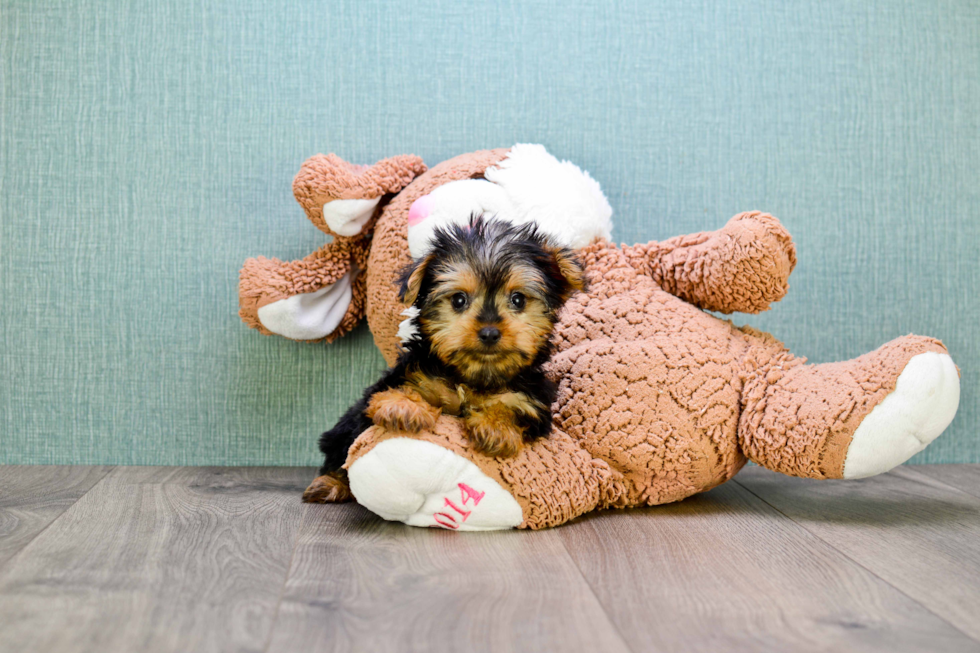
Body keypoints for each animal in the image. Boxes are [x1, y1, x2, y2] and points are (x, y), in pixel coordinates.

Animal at [302, 215, 584, 504]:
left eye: (518, 299)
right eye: (459, 300)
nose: (490, 332)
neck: (473, 377)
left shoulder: (533, 402)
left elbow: (513, 407)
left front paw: (496, 427)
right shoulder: (412, 375)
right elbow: (397, 392)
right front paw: (403, 405)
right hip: (342, 431)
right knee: (340, 451)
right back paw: (329, 484)